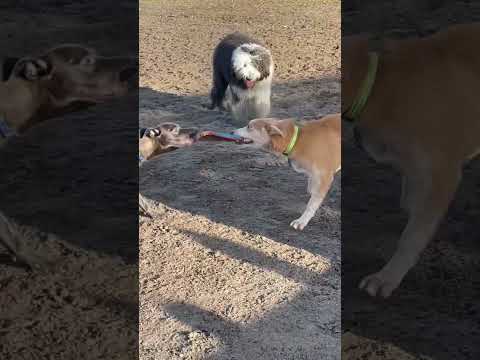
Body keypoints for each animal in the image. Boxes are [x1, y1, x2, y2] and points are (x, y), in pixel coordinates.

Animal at [344, 23, 480, 298]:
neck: (380, 85)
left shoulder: (443, 174)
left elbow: (413, 234)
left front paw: (388, 276)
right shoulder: (414, 171)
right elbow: (412, 208)